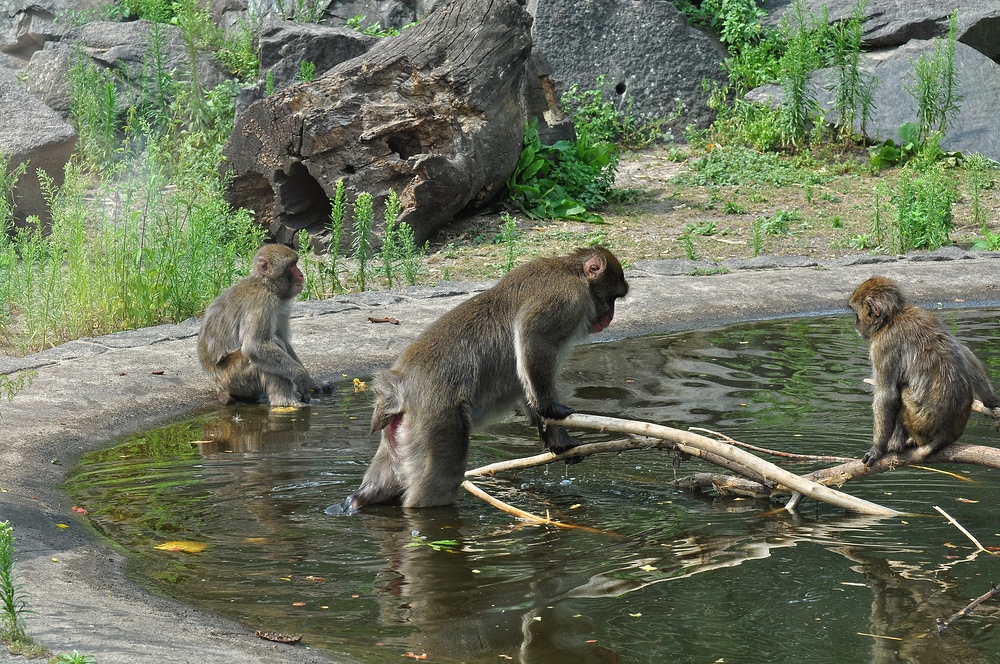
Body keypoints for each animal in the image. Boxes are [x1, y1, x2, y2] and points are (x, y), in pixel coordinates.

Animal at [201, 244, 326, 408]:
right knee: (269, 348)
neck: (266, 285)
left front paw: (312, 383)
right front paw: (301, 376)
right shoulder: (262, 303)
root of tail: (217, 384)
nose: (301, 274)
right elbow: (254, 346)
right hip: (233, 380)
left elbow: (285, 343)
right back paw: (286, 402)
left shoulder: (281, 306)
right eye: (291, 265)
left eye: (295, 264)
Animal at [340, 246, 628, 510]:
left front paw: (559, 439)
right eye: (613, 297)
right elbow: (532, 336)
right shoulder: (567, 300)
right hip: (438, 419)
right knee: (441, 479)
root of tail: (398, 386)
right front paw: (549, 407)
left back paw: (356, 501)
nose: (611, 315)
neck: (571, 271)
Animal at [844, 278, 1000, 464]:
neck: (893, 317)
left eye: (856, 313)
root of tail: (948, 434)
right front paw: (992, 401)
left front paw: (877, 449)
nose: (855, 324)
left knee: (902, 391)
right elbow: (965, 353)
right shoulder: (925, 313)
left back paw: (897, 444)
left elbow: (886, 396)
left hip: (920, 421)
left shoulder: (882, 345)